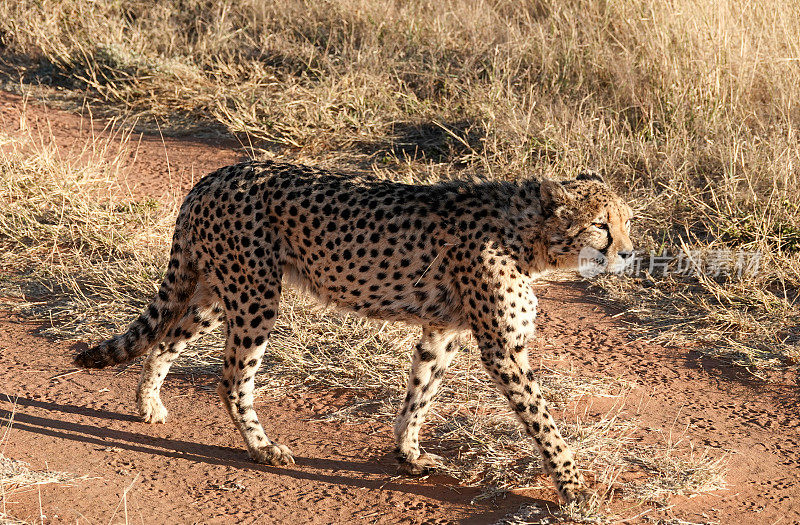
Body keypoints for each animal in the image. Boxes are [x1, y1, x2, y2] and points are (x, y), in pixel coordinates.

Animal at [76, 161, 636, 504]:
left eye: (627, 221)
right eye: (601, 225)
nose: (629, 253)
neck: (528, 235)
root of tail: (216, 175)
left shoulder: (442, 331)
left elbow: (420, 395)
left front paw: (408, 455)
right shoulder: (503, 348)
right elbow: (543, 422)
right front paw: (573, 486)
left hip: (220, 291)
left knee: (168, 337)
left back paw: (148, 403)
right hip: (255, 296)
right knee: (231, 379)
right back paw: (263, 449)